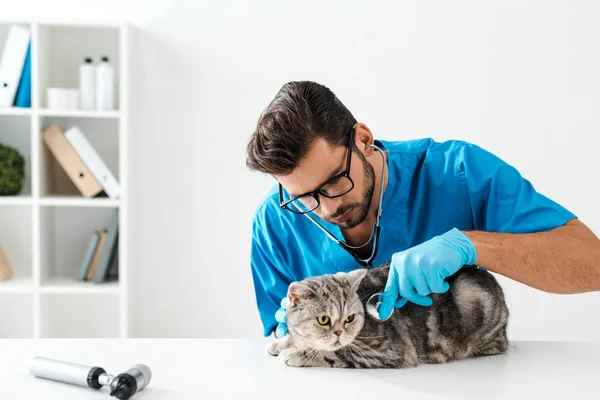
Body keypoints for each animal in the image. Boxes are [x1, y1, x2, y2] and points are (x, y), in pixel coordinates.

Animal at [266, 264, 506, 368]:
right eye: (324, 320)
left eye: (349, 318)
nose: (339, 333)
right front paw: (281, 342)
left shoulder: (384, 351)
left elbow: (333, 353)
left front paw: (296, 354)